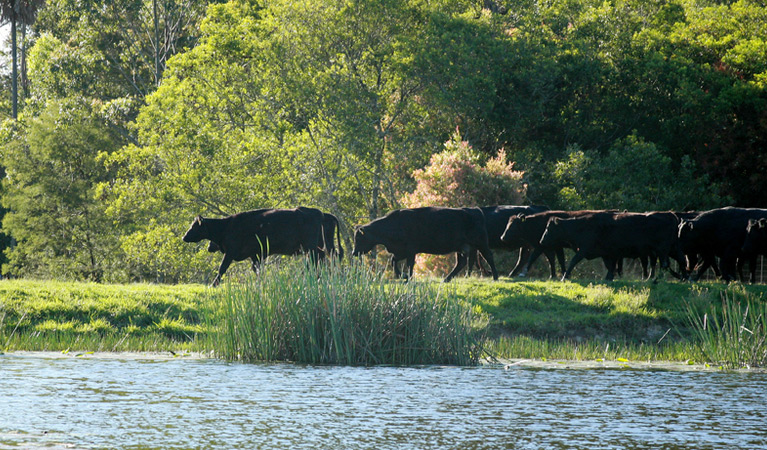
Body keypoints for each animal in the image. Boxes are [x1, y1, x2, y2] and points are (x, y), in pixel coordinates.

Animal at [184, 207, 326, 284]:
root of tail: (317, 212)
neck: (226, 227)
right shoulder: (255, 254)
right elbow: (257, 269)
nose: (183, 237)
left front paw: (214, 284)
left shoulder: (230, 252)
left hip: (310, 248)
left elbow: (222, 268)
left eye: (194, 227)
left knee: (313, 263)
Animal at [352, 207, 498, 282]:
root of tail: (476, 210)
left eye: (358, 238)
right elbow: (394, 261)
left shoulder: (410, 251)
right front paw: (402, 276)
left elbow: (409, 264)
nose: (354, 253)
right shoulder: (400, 252)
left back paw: (495, 277)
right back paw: (447, 279)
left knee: (489, 256)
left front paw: (408, 277)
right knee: (462, 262)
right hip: (462, 247)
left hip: (480, 243)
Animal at [540, 212, 684, 282]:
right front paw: (609, 277)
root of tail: (670, 215)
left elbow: (573, 261)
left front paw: (564, 277)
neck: (581, 226)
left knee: (665, 264)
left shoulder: (584, 250)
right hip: (671, 248)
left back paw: (657, 278)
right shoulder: (605, 253)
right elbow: (610, 266)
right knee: (679, 260)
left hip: (662, 249)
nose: (541, 241)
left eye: (548, 228)